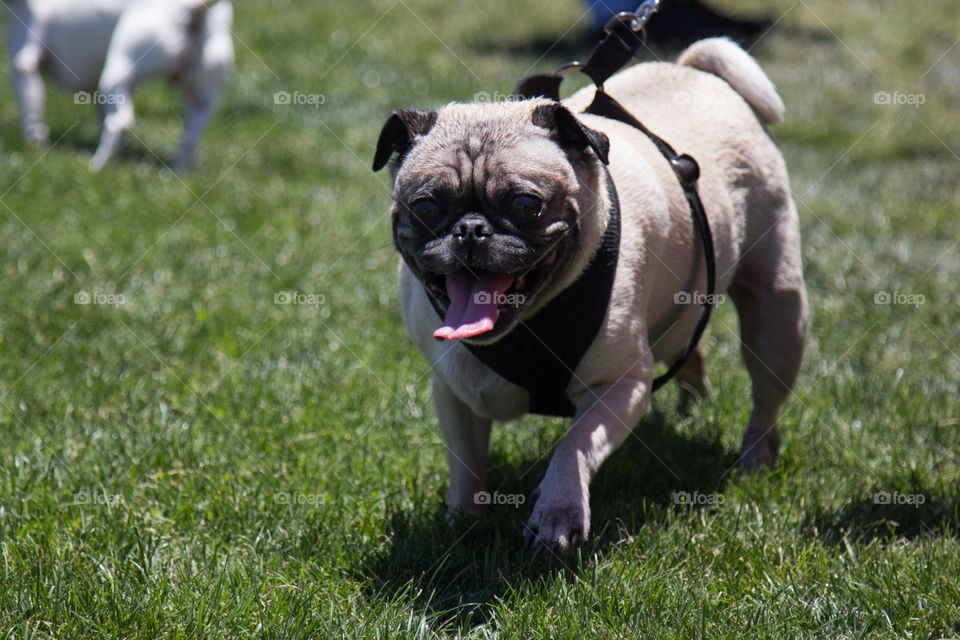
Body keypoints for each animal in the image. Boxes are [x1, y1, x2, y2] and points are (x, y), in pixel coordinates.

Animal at [4, 0, 233, 170]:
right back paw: (177, 172)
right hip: (202, 99)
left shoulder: (24, 61)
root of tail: (191, 10)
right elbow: (100, 115)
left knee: (120, 121)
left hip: (117, 70)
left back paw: (97, 165)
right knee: (190, 137)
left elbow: (31, 110)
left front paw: (34, 144)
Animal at [372, 38, 808, 556]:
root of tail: (694, 70)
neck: (528, 324)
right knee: (689, 343)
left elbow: (574, 445)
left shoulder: (621, 386)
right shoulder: (454, 393)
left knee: (765, 398)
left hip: (777, 311)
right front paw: (463, 523)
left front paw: (558, 513)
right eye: (424, 207)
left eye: (526, 205)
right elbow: (466, 467)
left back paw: (756, 458)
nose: (471, 229)